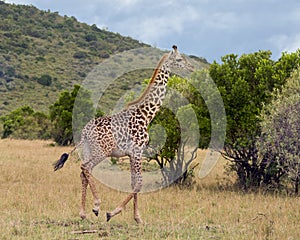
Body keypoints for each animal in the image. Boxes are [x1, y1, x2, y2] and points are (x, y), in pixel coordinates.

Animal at [53, 45, 195, 223]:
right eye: (179, 59)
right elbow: (139, 184)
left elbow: (134, 183)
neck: (146, 115)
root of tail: (85, 132)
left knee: (83, 173)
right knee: (85, 167)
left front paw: (137, 218)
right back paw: (96, 205)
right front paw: (113, 212)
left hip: (87, 150)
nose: (192, 68)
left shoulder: (131, 154)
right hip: (102, 151)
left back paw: (83, 213)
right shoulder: (137, 151)